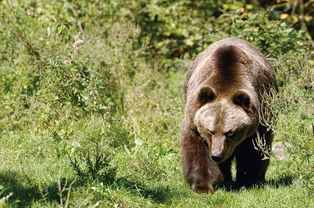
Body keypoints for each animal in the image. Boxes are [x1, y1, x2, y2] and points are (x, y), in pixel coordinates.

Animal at [180, 37, 278, 193]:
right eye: (210, 131)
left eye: (230, 133)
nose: (216, 155)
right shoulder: (194, 117)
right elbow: (195, 149)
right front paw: (202, 186)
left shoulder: (258, 123)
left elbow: (254, 152)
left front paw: (247, 181)